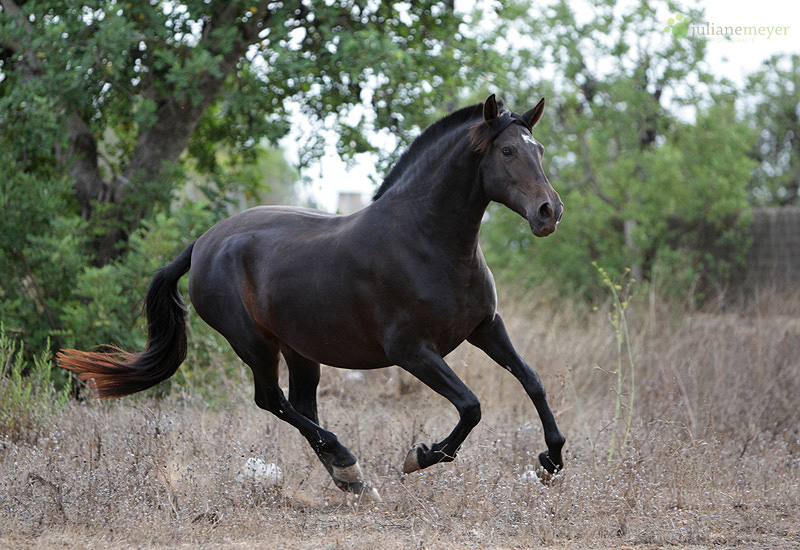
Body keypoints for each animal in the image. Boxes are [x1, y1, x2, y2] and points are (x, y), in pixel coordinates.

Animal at [59, 96, 564, 504]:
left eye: (537, 149)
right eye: (506, 151)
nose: (549, 212)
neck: (428, 242)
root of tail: (201, 244)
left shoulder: (486, 327)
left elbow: (532, 381)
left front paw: (553, 461)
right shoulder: (412, 352)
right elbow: (470, 405)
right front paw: (420, 456)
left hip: (301, 349)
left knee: (301, 406)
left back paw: (351, 480)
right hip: (254, 344)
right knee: (272, 400)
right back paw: (348, 464)